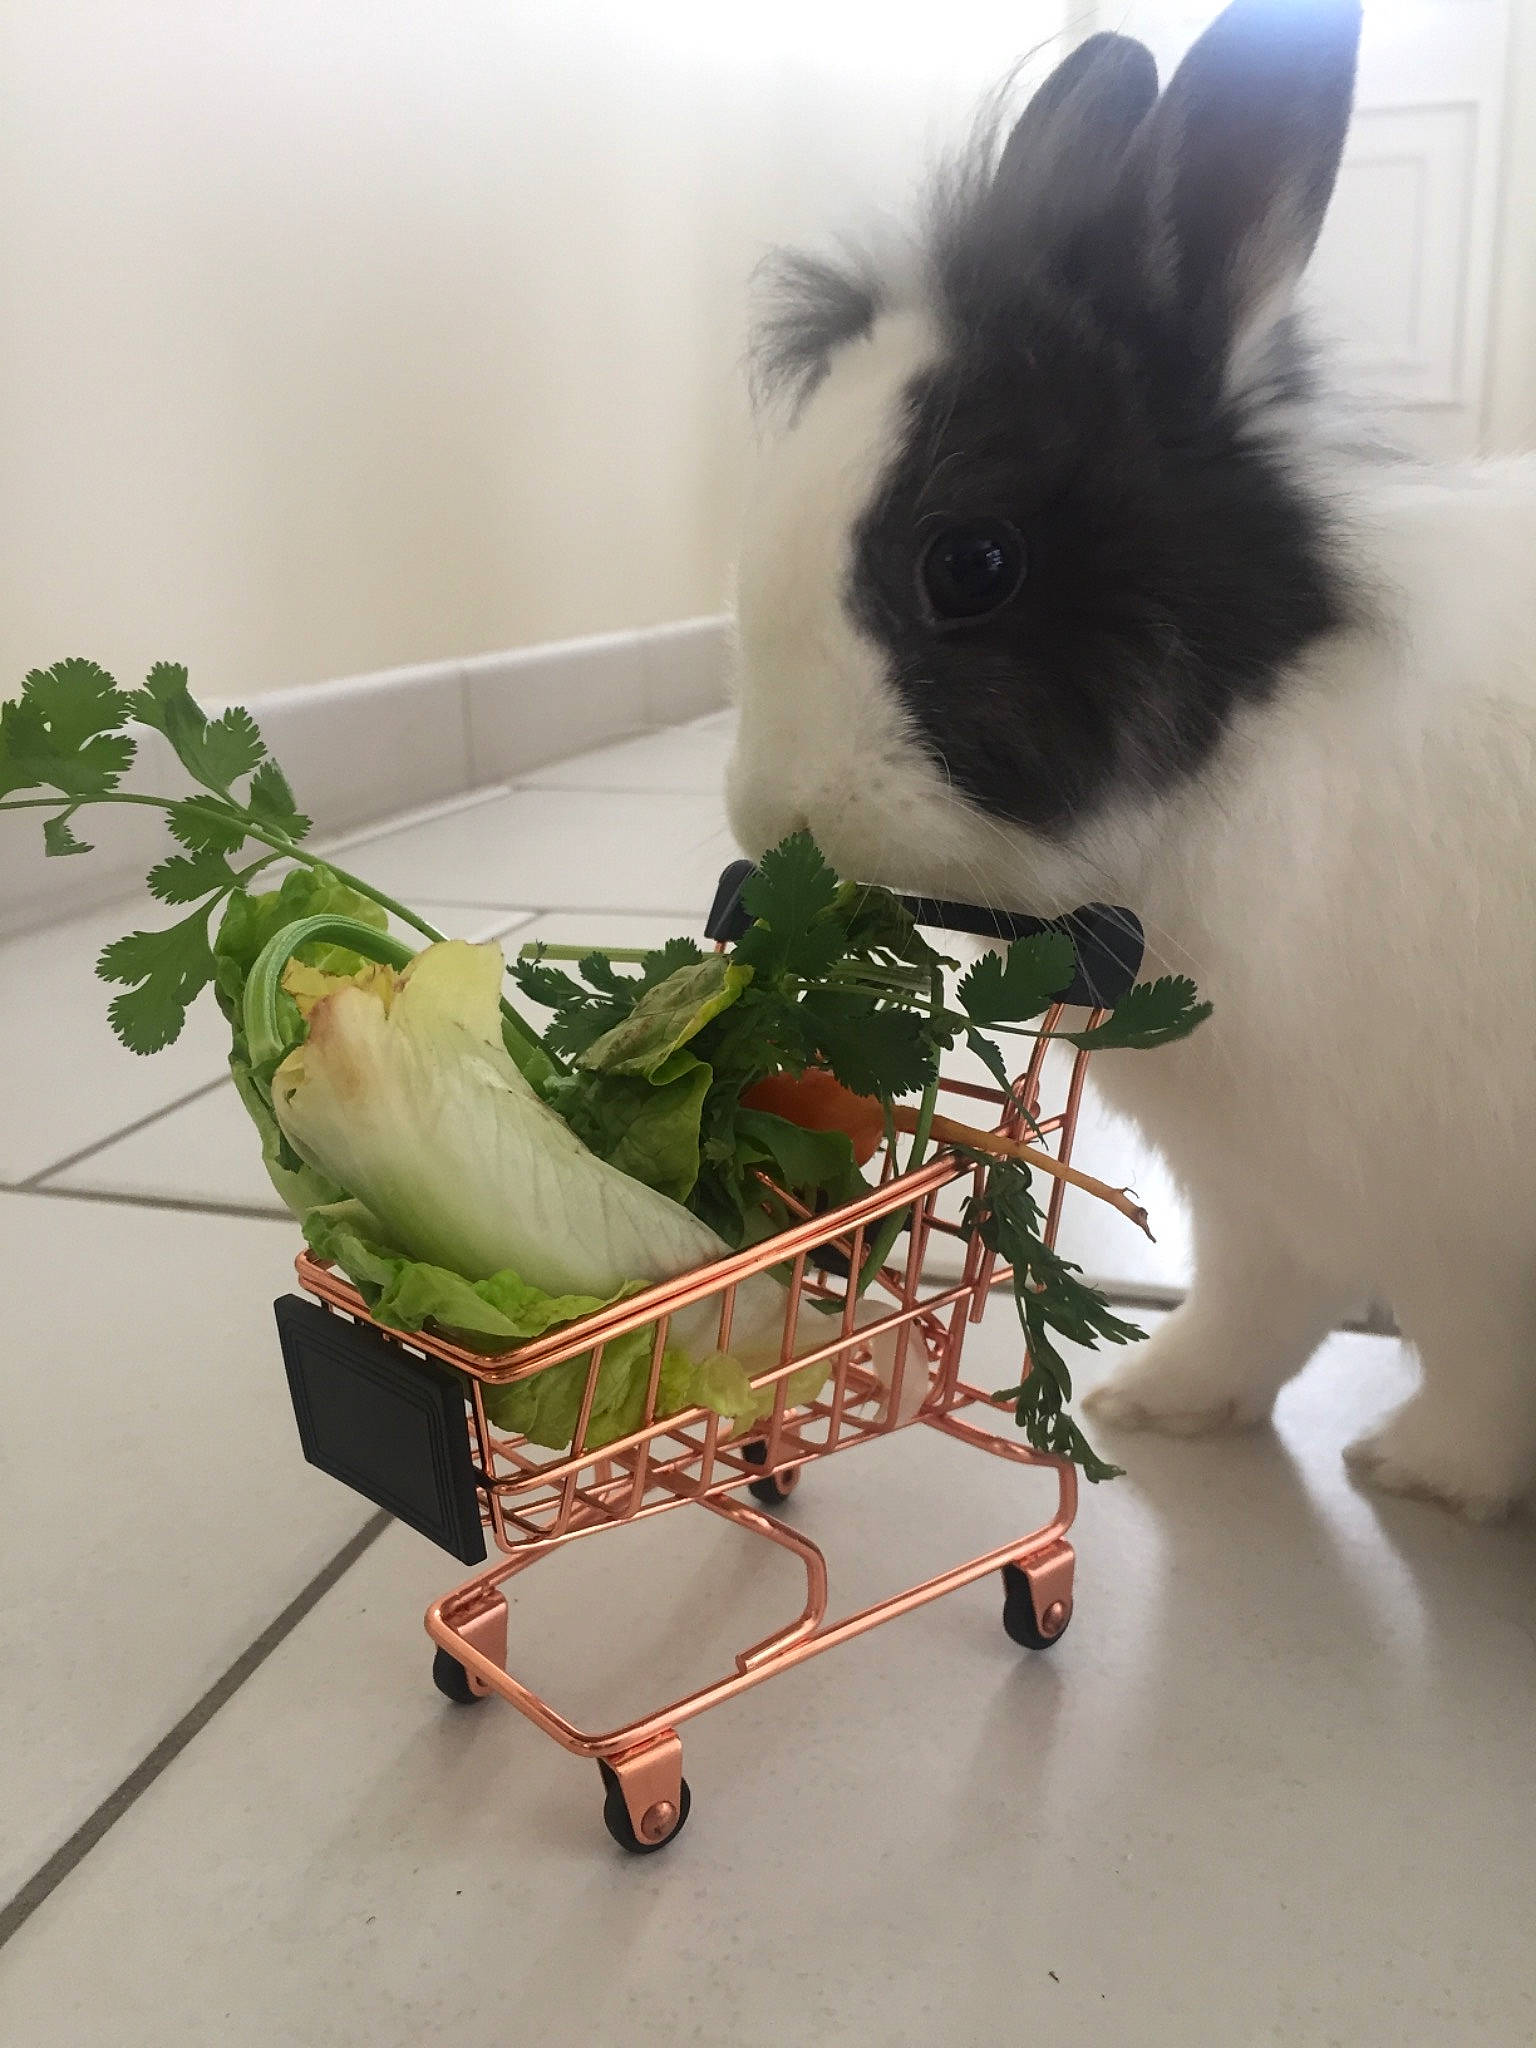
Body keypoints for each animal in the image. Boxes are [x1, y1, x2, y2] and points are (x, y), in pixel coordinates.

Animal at [724, 0, 1536, 1520]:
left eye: (970, 564)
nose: (770, 817)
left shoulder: (1458, 1209)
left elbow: (1475, 1350)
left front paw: (1425, 1474)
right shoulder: (1264, 1186)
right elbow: (1253, 1303)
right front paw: (1159, 1402)